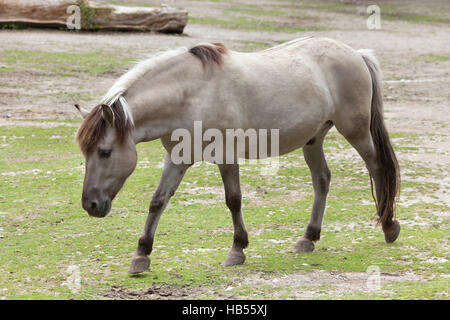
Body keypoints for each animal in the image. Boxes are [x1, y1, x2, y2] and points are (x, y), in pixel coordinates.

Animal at [74, 36, 400, 274]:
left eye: (105, 152)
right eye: (86, 153)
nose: (91, 205)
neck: (191, 94)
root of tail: (356, 54)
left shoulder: (226, 155)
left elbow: (233, 200)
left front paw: (237, 249)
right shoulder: (177, 158)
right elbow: (158, 201)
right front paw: (141, 255)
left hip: (356, 132)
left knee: (377, 168)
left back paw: (388, 226)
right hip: (313, 140)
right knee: (322, 180)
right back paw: (308, 238)